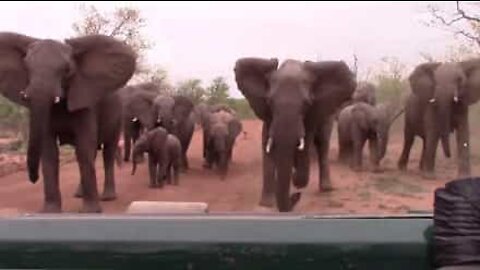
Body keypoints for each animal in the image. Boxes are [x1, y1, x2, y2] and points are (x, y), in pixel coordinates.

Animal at [0, 32, 137, 213]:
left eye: (67, 70)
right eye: (27, 68)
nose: (33, 178)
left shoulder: (85, 101)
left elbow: (84, 149)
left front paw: (90, 212)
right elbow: (50, 153)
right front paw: (50, 212)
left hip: (117, 116)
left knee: (107, 152)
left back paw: (108, 197)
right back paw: (78, 195)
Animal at [234, 57, 354, 213]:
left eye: (307, 104)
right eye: (269, 102)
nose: (296, 196)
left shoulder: (311, 116)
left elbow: (305, 146)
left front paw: (295, 178)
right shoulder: (269, 117)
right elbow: (267, 148)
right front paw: (266, 204)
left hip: (328, 115)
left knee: (323, 144)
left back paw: (326, 189)